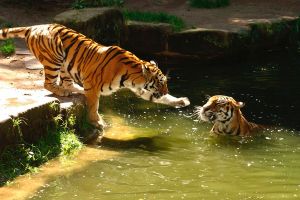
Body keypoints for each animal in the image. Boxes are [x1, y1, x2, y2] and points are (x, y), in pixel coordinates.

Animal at [0, 23, 190, 130]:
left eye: (164, 83)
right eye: (159, 83)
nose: (164, 91)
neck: (133, 76)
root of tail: (33, 26)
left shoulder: (141, 89)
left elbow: (160, 99)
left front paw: (181, 101)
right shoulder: (93, 85)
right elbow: (94, 106)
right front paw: (97, 123)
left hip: (65, 65)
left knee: (66, 82)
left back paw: (76, 89)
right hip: (55, 58)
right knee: (47, 83)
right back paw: (63, 92)